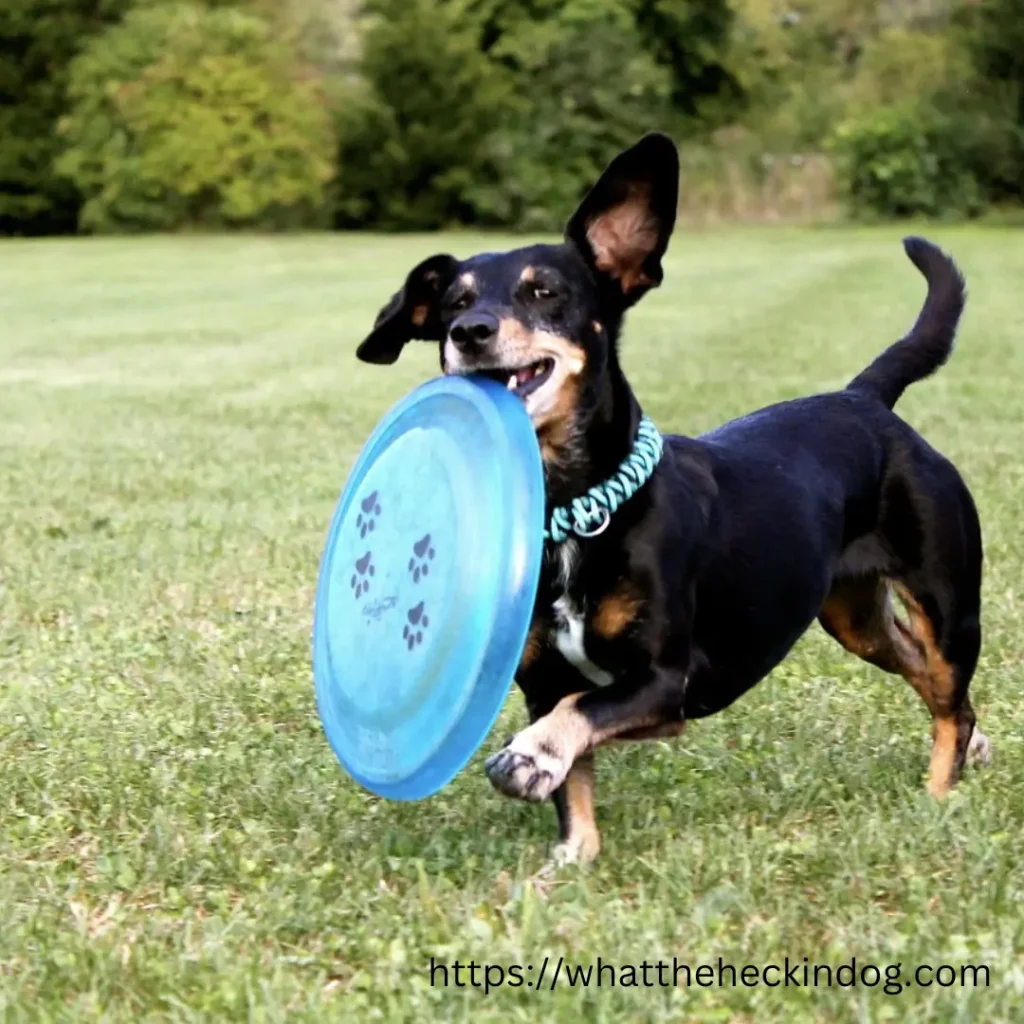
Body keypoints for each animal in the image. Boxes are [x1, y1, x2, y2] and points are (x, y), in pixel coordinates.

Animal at [356, 130, 987, 864]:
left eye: (544, 291)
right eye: (453, 303)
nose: (470, 333)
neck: (578, 515)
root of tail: (865, 400)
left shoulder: (665, 683)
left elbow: (580, 716)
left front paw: (529, 757)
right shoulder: (546, 681)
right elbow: (574, 779)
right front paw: (571, 857)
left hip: (948, 602)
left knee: (951, 692)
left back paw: (940, 791)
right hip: (855, 618)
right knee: (929, 678)